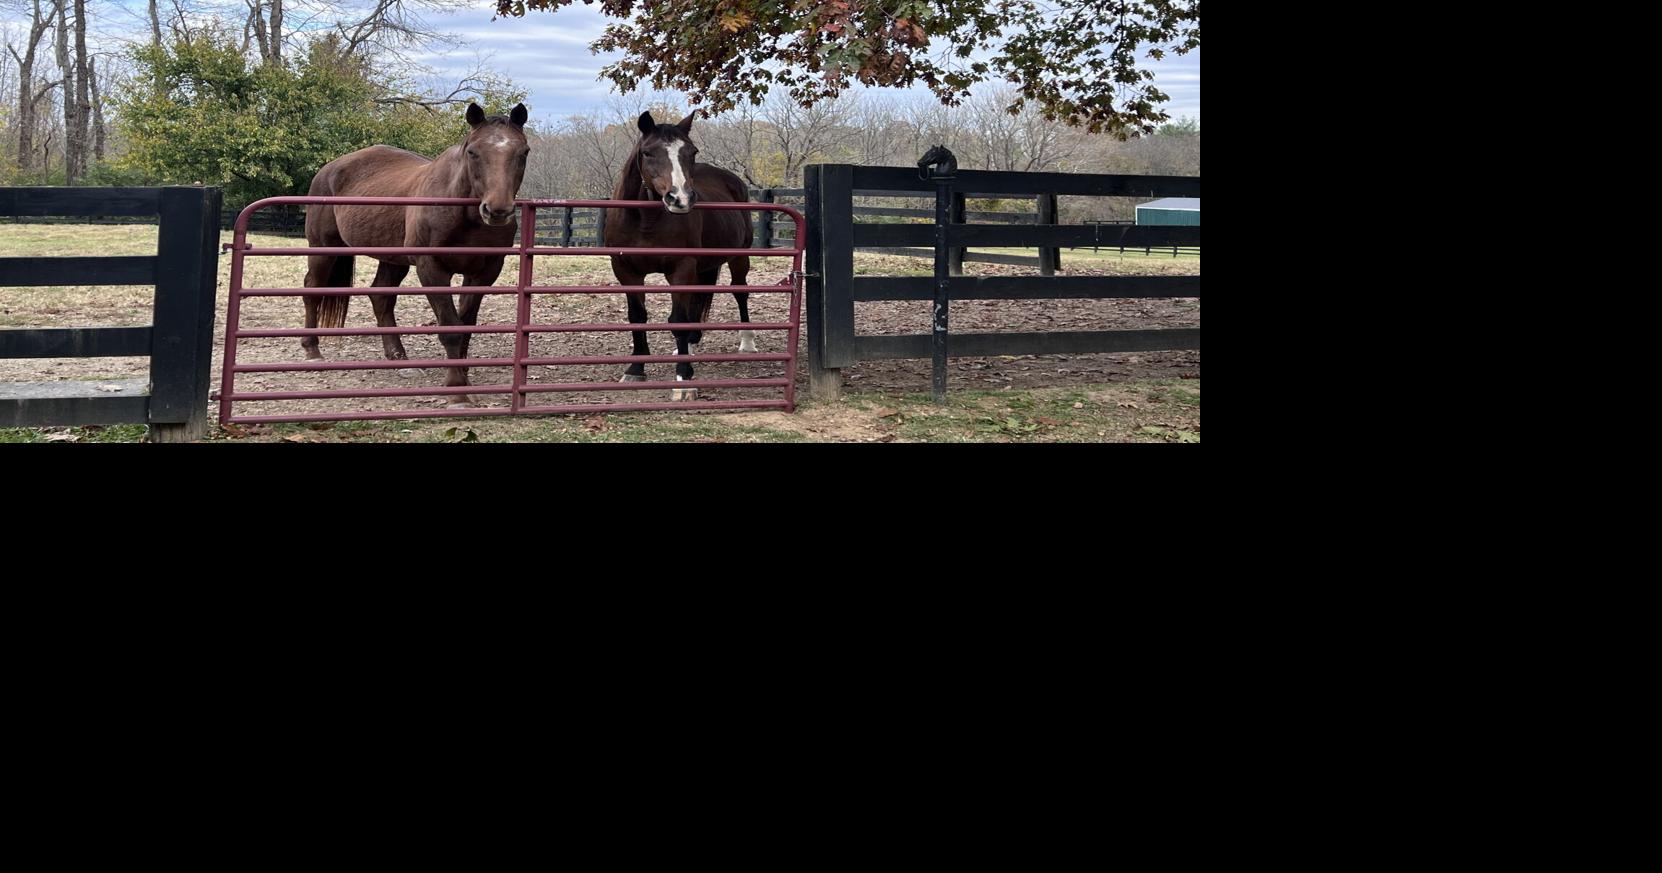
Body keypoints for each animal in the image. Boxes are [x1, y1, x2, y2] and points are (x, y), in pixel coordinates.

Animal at [301, 102, 530, 407]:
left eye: (523, 152)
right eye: (473, 152)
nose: (497, 211)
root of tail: (329, 169)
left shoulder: (484, 272)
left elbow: (466, 325)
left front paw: (464, 376)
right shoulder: (431, 269)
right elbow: (450, 327)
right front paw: (457, 390)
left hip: (391, 258)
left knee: (380, 297)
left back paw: (398, 357)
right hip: (324, 248)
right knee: (312, 288)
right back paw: (312, 350)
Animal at [603, 110, 753, 401]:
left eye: (692, 152)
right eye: (648, 152)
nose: (680, 199)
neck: (644, 220)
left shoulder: (680, 268)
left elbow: (678, 320)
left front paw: (683, 378)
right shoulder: (626, 271)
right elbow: (637, 317)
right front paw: (636, 369)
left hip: (739, 258)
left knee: (740, 292)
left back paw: (748, 343)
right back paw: (691, 345)